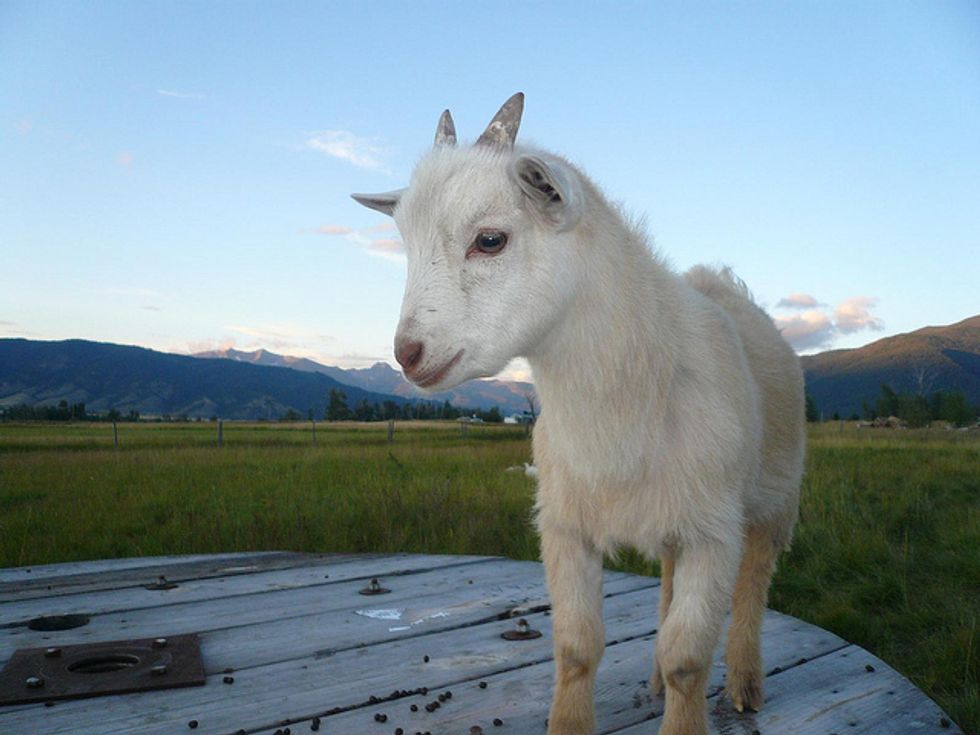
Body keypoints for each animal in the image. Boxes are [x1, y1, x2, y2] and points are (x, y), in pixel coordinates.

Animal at [352, 93, 806, 735]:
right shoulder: (567, 525)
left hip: (774, 499)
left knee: (755, 586)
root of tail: (722, 284)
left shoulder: (715, 533)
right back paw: (653, 677)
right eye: (405, 244)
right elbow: (576, 646)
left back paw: (744, 682)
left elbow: (689, 659)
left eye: (489, 240)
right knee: (667, 587)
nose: (408, 354)